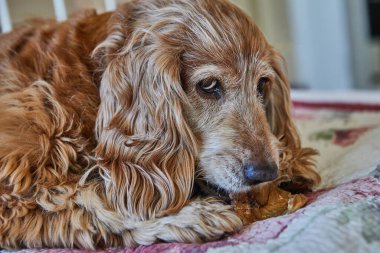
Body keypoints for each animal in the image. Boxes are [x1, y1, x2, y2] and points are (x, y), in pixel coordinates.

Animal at [0, 0, 320, 249]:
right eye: (208, 85)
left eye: (262, 84)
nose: (266, 172)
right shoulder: (12, 196)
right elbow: (89, 198)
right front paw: (190, 215)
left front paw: (292, 162)